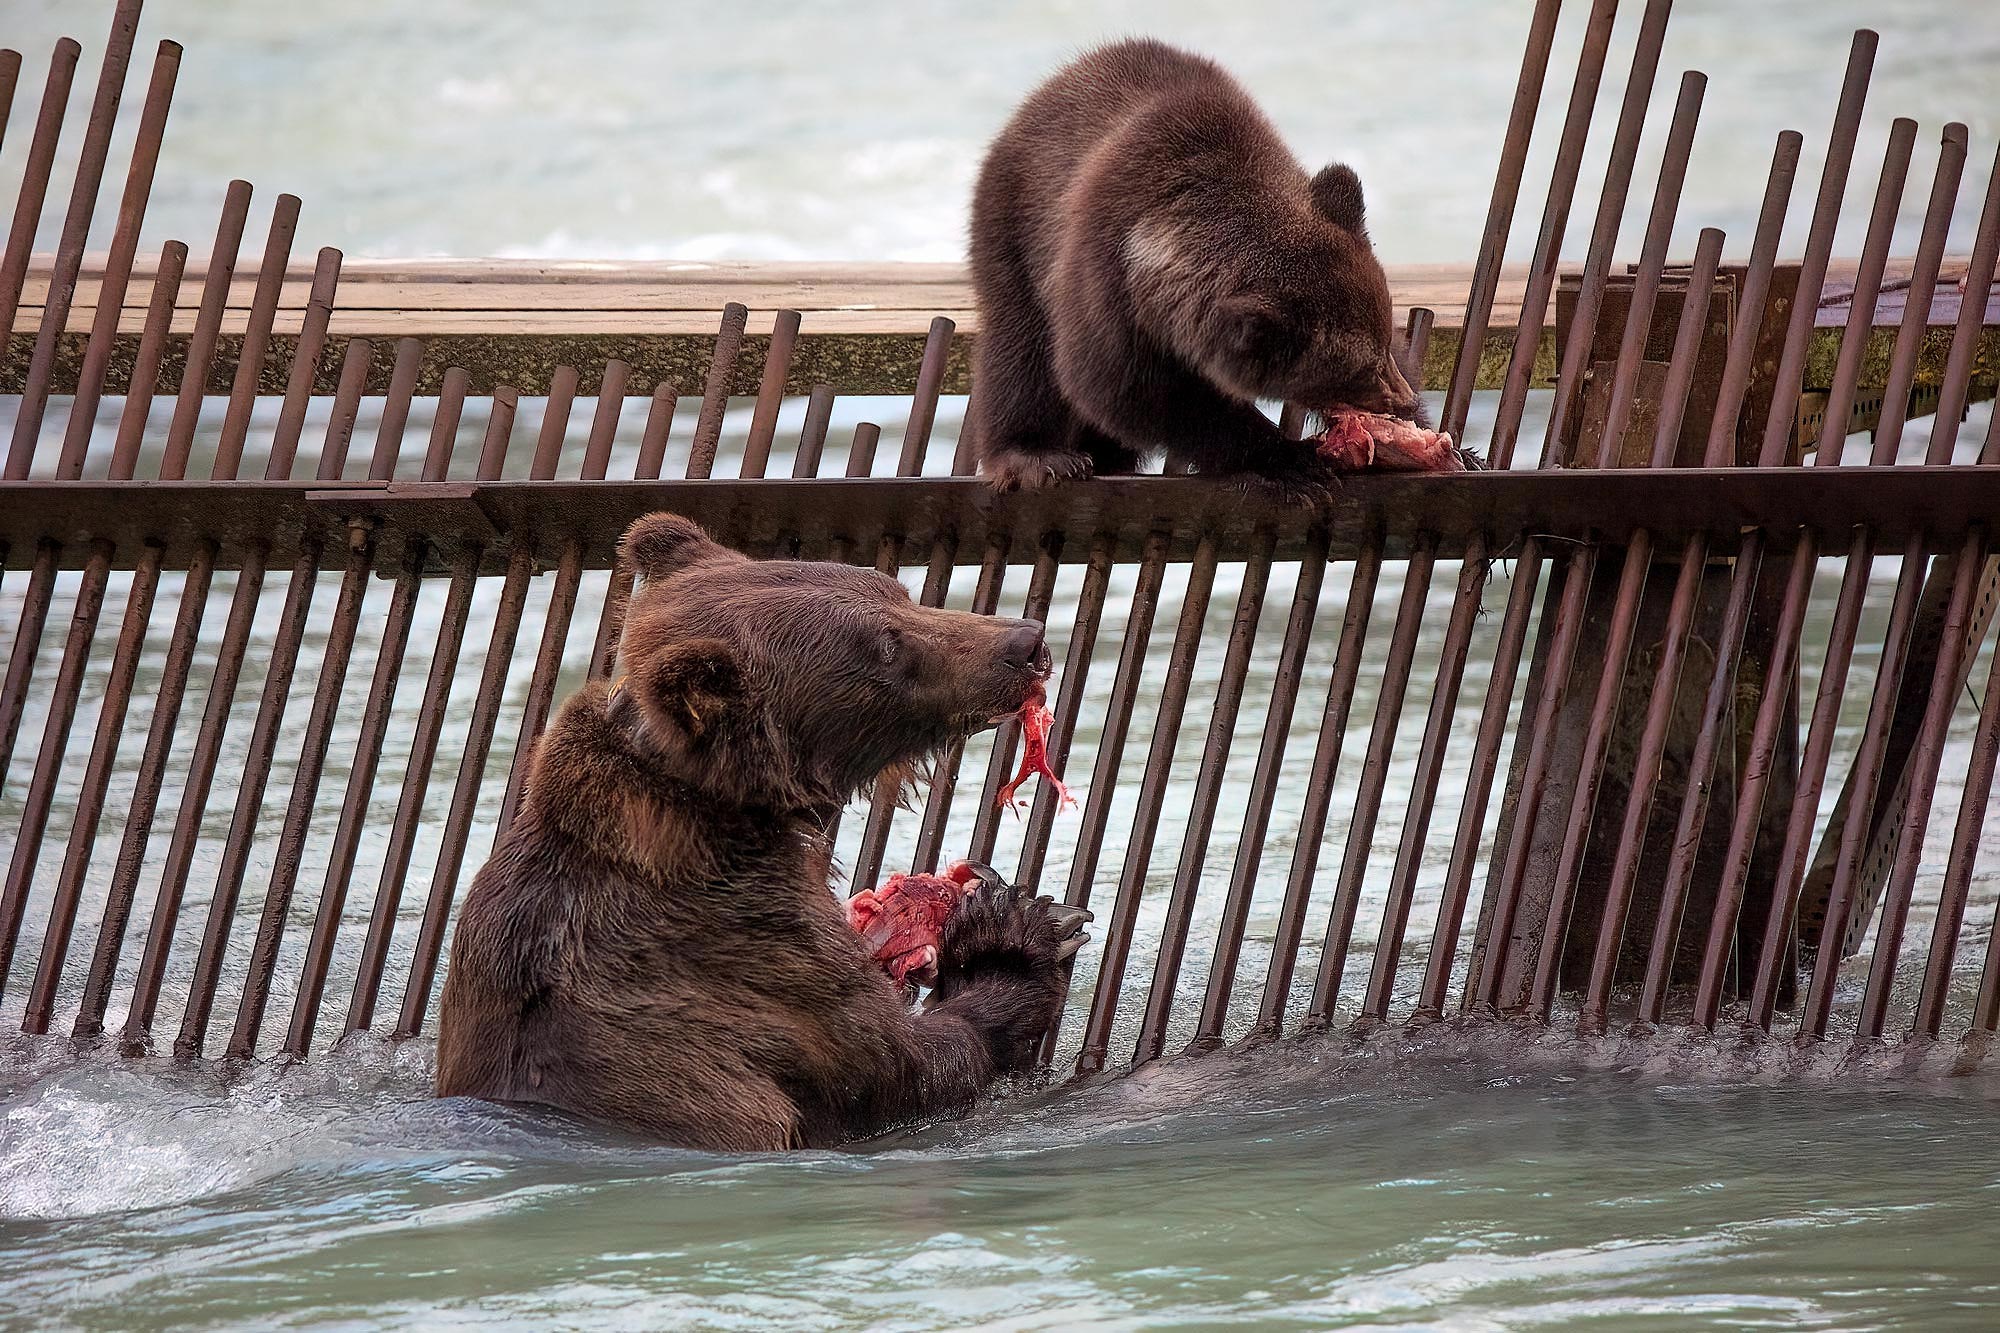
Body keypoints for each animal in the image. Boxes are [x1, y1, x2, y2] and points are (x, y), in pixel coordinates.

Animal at [442, 512, 1096, 1144]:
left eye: (899, 594)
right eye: (885, 644)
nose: (1026, 640)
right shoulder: (753, 962)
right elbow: (896, 1065)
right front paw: (1013, 937)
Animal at [968, 41, 1424, 500]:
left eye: (1383, 345)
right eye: (1359, 369)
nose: (1402, 401)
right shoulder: (1109, 284)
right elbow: (1128, 389)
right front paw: (1291, 463)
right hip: (1017, 223)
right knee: (1021, 348)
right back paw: (1038, 454)